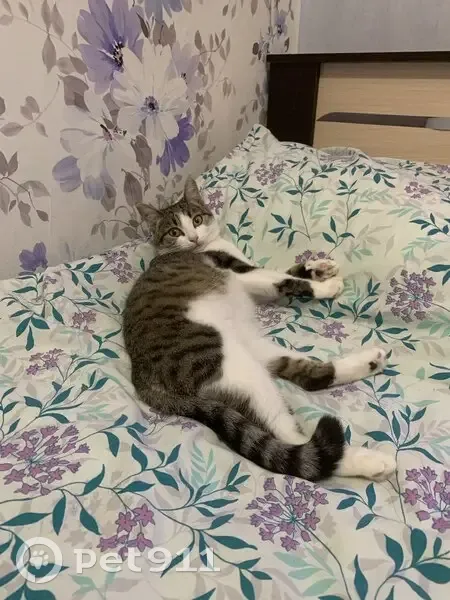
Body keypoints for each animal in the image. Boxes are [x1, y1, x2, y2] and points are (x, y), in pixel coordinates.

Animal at [123, 176, 396, 482]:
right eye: (174, 231)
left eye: (196, 219)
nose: (193, 237)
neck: (204, 247)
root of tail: (142, 379)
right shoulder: (240, 271)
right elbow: (285, 280)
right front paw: (326, 285)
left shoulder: (253, 280)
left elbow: (286, 273)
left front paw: (320, 266)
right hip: (227, 364)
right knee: (289, 437)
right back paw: (368, 461)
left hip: (257, 350)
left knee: (309, 377)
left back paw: (369, 362)